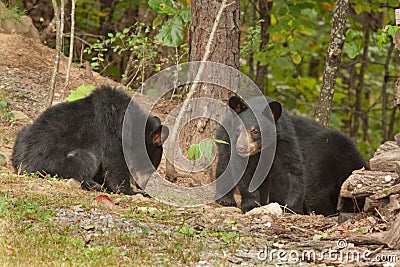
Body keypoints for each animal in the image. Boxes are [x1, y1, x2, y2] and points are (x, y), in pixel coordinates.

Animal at [12, 86, 169, 195]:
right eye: (151, 167)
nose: (142, 186)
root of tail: (23, 164)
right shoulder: (114, 134)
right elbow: (115, 165)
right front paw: (131, 191)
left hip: (22, 134)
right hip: (58, 160)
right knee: (85, 161)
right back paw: (96, 185)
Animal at [217, 96, 368, 216]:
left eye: (255, 132)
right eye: (239, 130)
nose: (241, 148)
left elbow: (291, 173)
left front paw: (292, 209)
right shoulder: (320, 162)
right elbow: (316, 193)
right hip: (225, 140)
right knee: (224, 165)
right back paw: (226, 199)